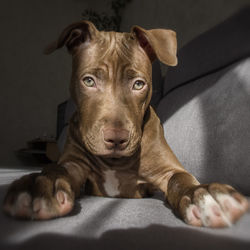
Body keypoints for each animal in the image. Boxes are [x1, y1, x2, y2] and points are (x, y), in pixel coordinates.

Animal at [2, 22, 248, 227]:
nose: (116, 139)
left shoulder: (167, 170)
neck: (115, 162)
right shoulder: (74, 163)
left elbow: (180, 178)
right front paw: (39, 186)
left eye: (138, 84)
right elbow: (56, 168)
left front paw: (203, 194)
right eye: (89, 80)